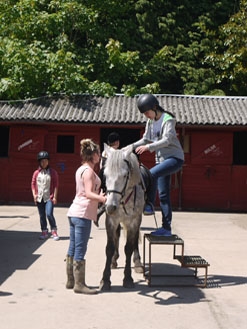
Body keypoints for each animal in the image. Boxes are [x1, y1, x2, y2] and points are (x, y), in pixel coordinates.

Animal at [98, 144, 145, 290]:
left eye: (124, 175)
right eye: (105, 175)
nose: (110, 207)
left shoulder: (133, 221)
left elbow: (129, 247)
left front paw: (128, 278)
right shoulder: (111, 221)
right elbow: (109, 247)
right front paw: (105, 280)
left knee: (135, 239)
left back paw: (138, 263)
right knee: (117, 235)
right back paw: (114, 260)